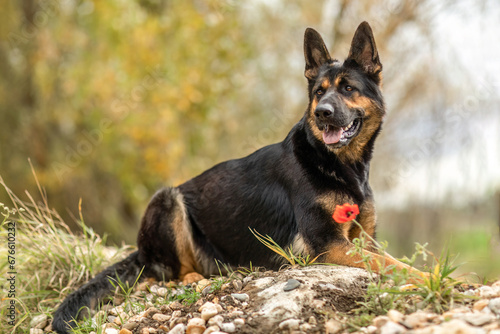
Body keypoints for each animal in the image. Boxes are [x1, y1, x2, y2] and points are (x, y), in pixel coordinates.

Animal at [52, 22, 416, 332]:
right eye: (318, 92)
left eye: (348, 88)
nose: (321, 113)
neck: (337, 164)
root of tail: (141, 250)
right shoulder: (328, 246)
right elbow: (395, 265)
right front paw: (428, 276)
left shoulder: (364, 240)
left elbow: (389, 260)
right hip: (168, 199)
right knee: (166, 272)